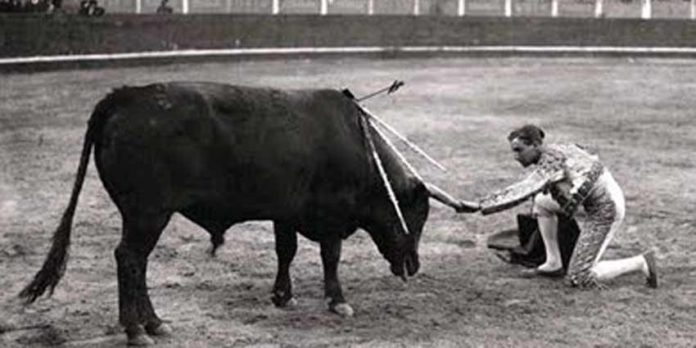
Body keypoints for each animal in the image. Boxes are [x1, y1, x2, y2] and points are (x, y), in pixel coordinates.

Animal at [21, 82, 440, 346]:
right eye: (416, 217)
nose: (414, 264)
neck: (361, 149)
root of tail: (125, 97)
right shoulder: (331, 216)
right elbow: (330, 257)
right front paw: (338, 301)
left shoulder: (285, 212)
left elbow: (285, 251)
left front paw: (282, 296)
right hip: (147, 213)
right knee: (130, 259)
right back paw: (138, 329)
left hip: (144, 216)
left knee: (137, 262)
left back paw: (154, 324)